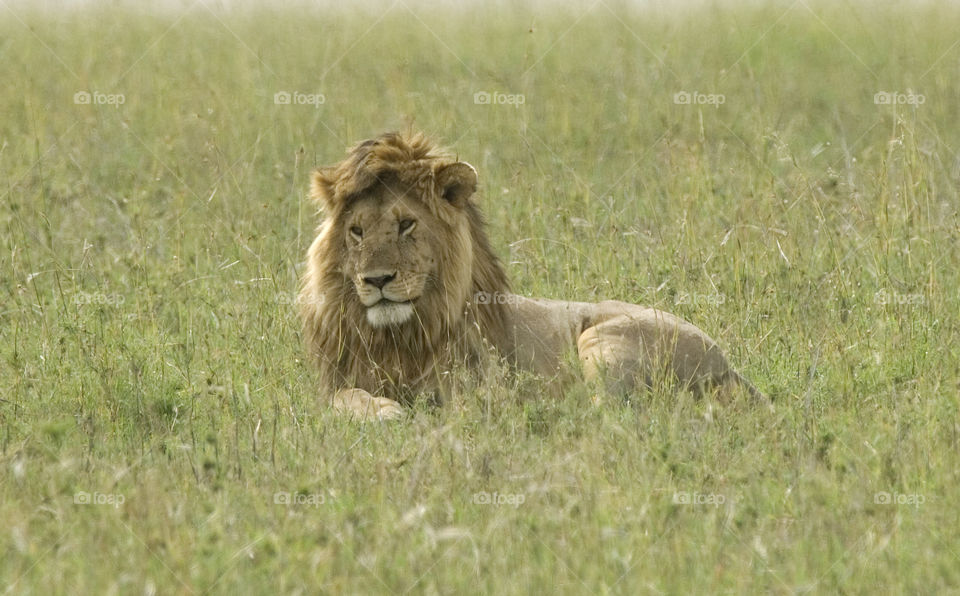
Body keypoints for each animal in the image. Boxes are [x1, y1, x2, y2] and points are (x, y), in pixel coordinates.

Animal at [299, 131, 765, 420]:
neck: (401, 335)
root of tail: (731, 368)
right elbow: (345, 399)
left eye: (406, 224)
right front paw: (383, 410)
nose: (376, 280)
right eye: (357, 231)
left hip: (602, 340)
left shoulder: (475, 381)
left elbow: (464, 405)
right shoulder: (335, 384)